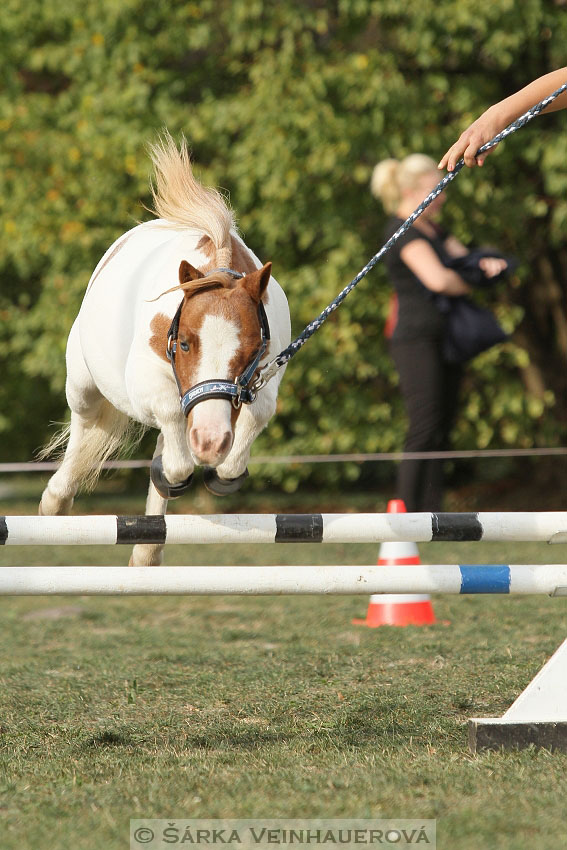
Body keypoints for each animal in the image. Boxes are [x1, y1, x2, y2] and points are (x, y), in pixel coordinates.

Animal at [38, 137, 292, 564]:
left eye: (255, 349)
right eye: (185, 343)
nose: (210, 441)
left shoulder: (265, 378)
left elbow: (257, 412)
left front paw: (222, 470)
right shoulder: (144, 382)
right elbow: (171, 428)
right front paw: (177, 469)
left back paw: (146, 552)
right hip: (84, 386)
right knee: (85, 427)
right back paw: (55, 500)